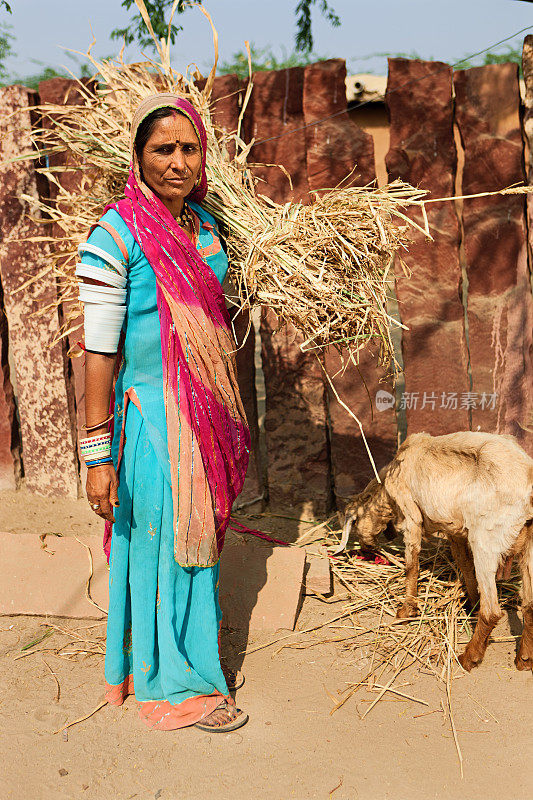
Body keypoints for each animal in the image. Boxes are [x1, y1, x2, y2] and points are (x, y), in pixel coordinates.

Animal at [340, 432, 532, 668]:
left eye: (355, 524)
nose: (367, 548)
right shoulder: (455, 530)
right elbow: (463, 563)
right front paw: (471, 602)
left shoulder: (410, 516)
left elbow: (411, 566)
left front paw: (406, 611)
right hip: (528, 545)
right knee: (530, 605)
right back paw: (524, 660)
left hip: (486, 539)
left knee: (492, 611)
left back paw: (468, 658)